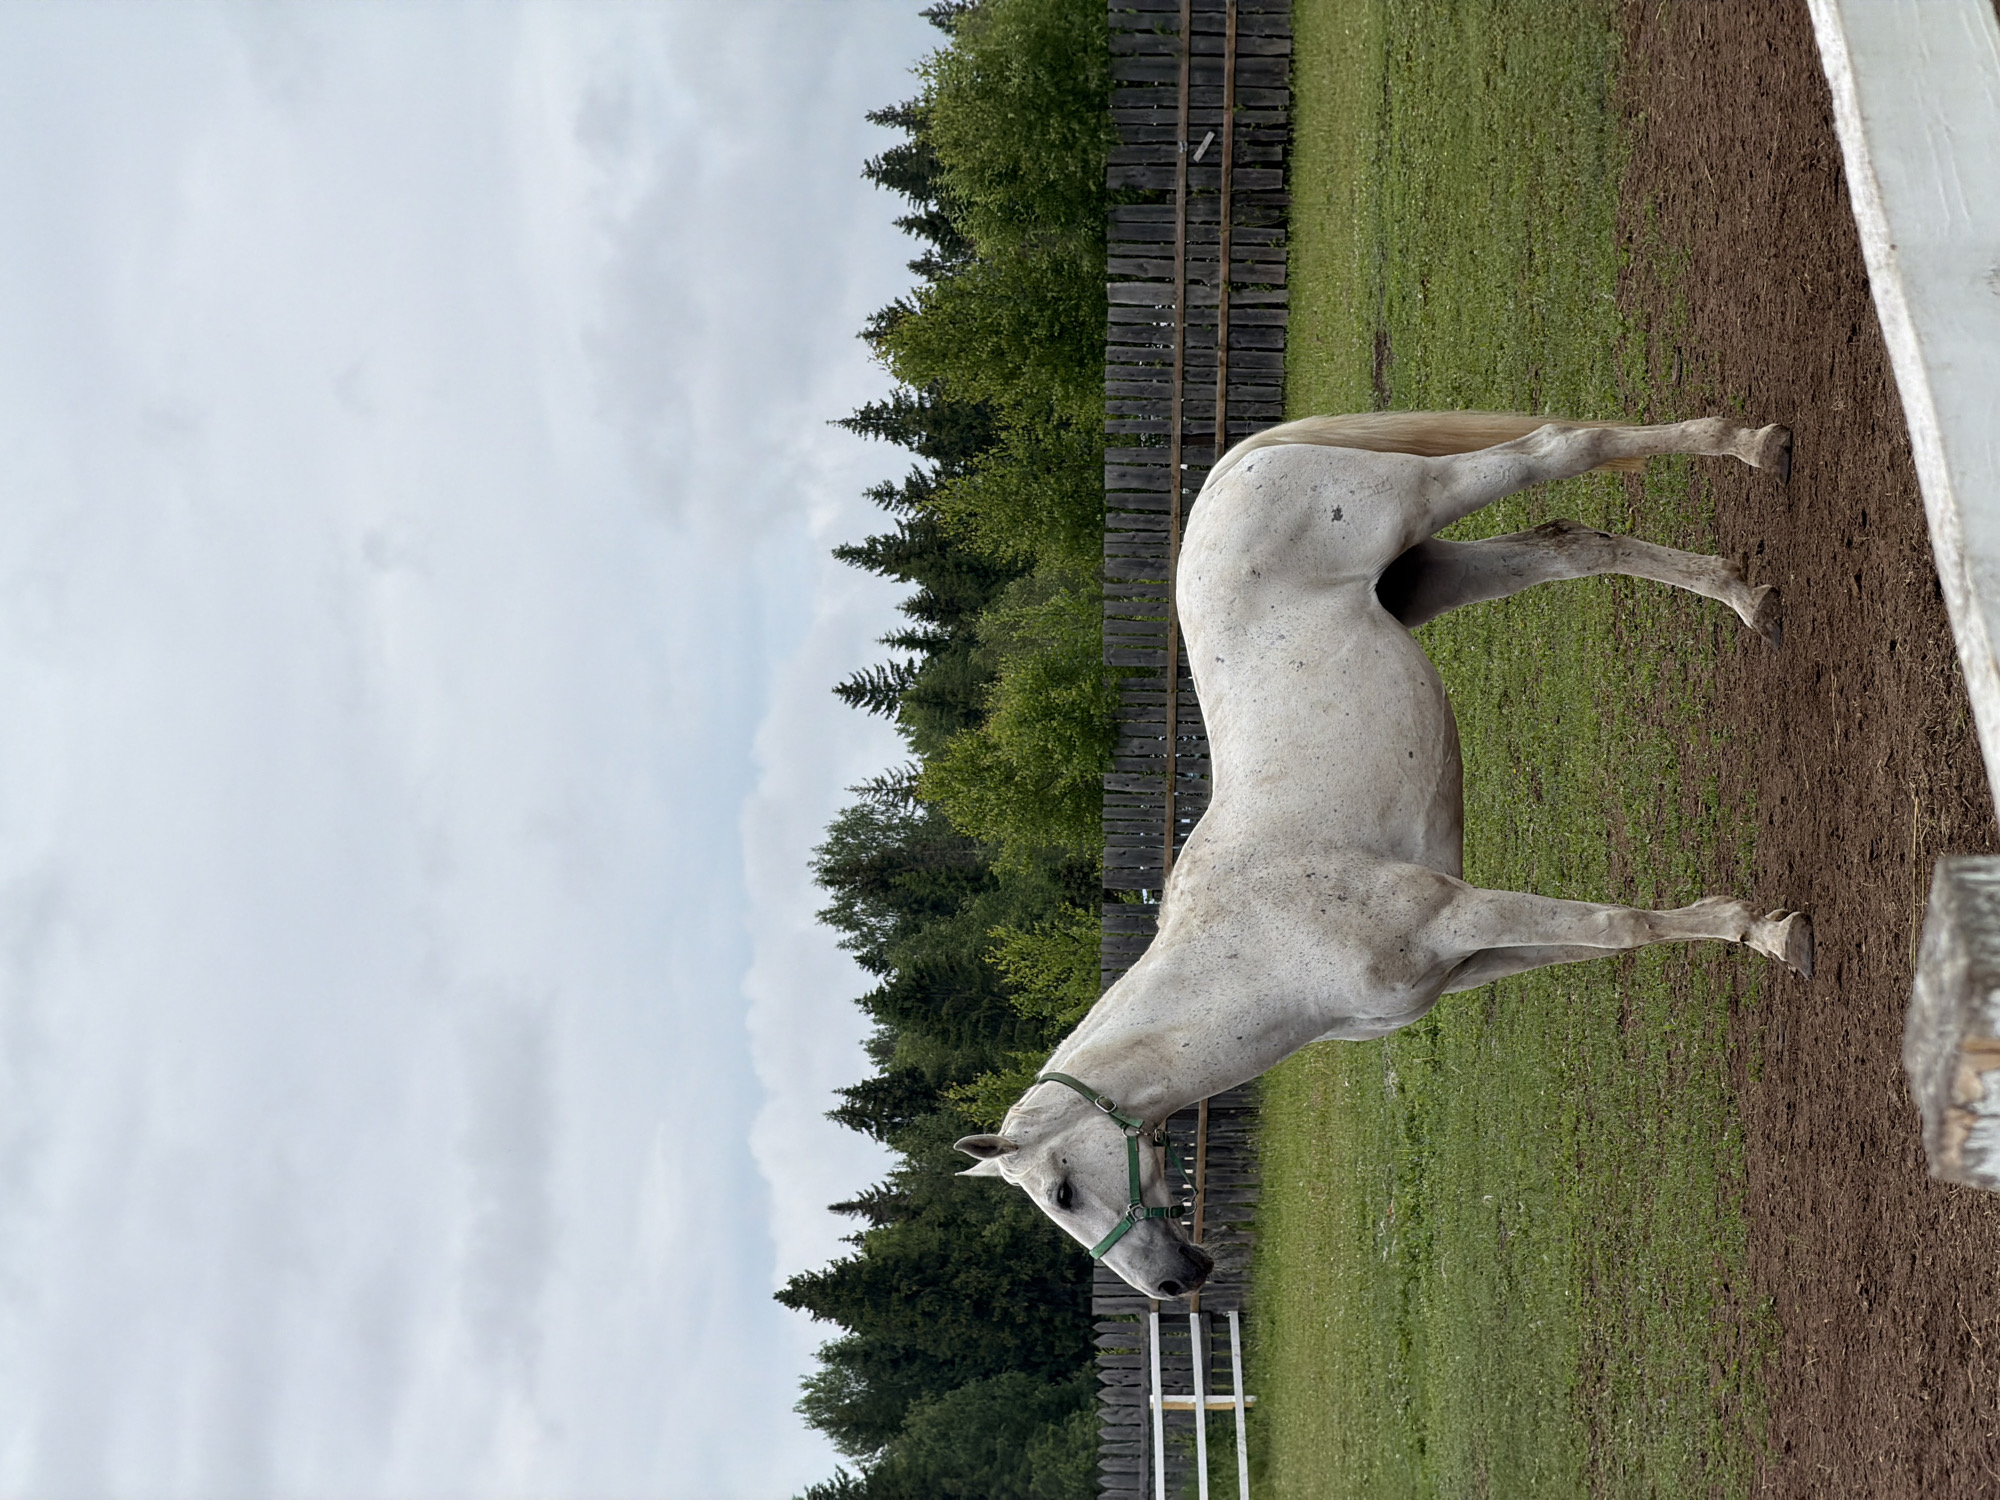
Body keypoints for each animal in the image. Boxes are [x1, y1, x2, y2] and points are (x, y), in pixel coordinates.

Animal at [955, 412, 1811, 1300]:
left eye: (1062, 1191)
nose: (1171, 1286)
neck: (1257, 948)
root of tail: (1229, 469)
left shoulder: (1460, 913)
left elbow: (1621, 927)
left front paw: (1771, 933)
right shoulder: (1472, 956)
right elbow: (1601, 940)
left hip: (1422, 500)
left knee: (1559, 449)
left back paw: (1754, 450)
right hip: (1432, 574)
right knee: (1570, 545)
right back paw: (1749, 596)